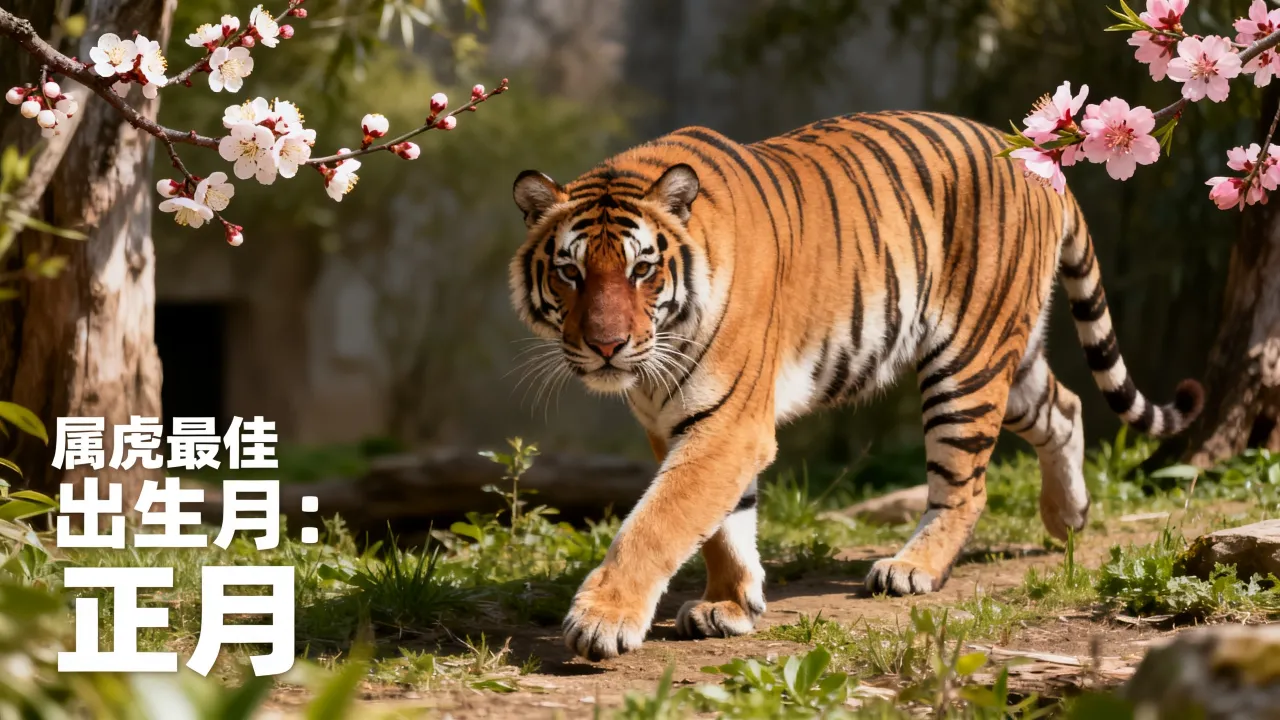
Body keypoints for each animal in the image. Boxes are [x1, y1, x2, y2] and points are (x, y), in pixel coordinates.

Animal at [508, 110, 1203, 661]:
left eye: (641, 270)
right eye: (570, 272)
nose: (606, 345)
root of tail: (1035, 161)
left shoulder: (728, 424)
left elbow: (658, 521)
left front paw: (602, 620)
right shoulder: (681, 422)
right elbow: (722, 526)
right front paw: (731, 603)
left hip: (966, 362)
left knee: (966, 484)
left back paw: (913, 568)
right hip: (1012, 353)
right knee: (1066, 405)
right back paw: (1068, 518)